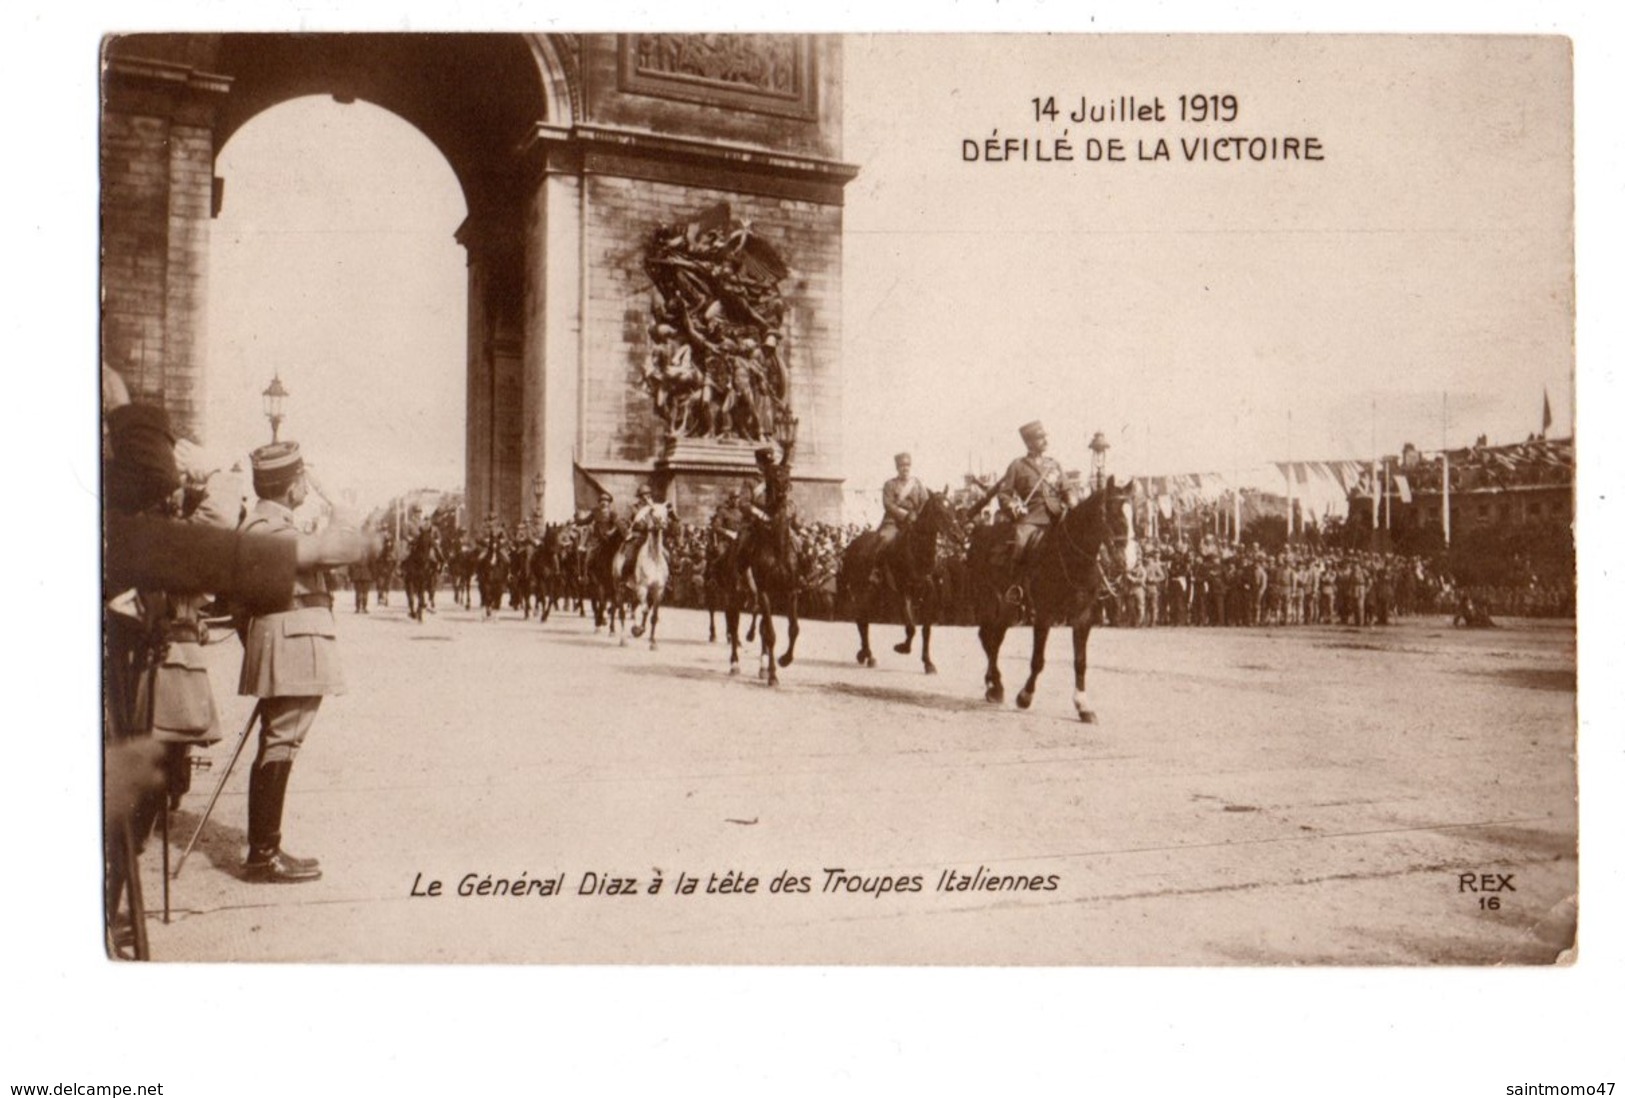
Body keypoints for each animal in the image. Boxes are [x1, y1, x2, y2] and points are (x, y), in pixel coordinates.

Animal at [962, 477, 1131, 721]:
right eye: (1112, 513)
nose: (1124, 562)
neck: (1071, 557)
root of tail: (978, 532)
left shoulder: (1083, 616)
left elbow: (1080, 661)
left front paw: (1083, 705)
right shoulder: (1044, 614)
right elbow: (1038, 660)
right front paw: (1025, 697)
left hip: (1008, 609)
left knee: (993, 639)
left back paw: (994, 685)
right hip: (988, 600)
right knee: (988, 639)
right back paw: (995, 687)